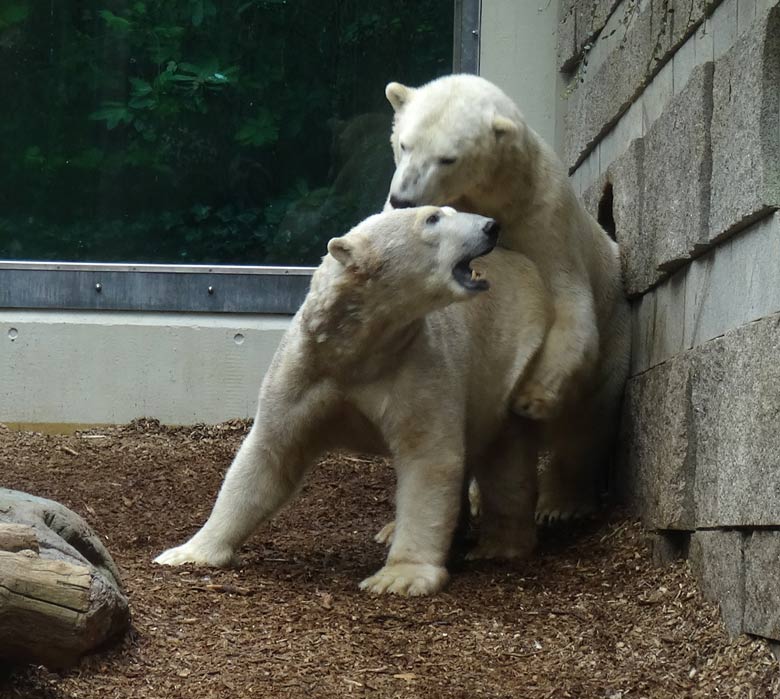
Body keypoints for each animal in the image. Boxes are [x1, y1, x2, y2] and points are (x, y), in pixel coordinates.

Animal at [155, 206, 552, 596]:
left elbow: (429, 457)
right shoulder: (305, 370)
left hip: (510, 364)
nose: (491, 227)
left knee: (506, 461)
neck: (357, 349)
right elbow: (269, 454)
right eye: (432, 218)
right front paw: (188, 552)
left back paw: (501, 545)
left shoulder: (417, 364)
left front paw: (399, 577)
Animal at [384, 75, 632, 520]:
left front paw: (532, 397)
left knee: (587, 421)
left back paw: (561, 502)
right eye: (405, 144)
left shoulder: (543, 220)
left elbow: (568, 306)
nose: (403, 198)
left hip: (616, 337)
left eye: (447, 158)